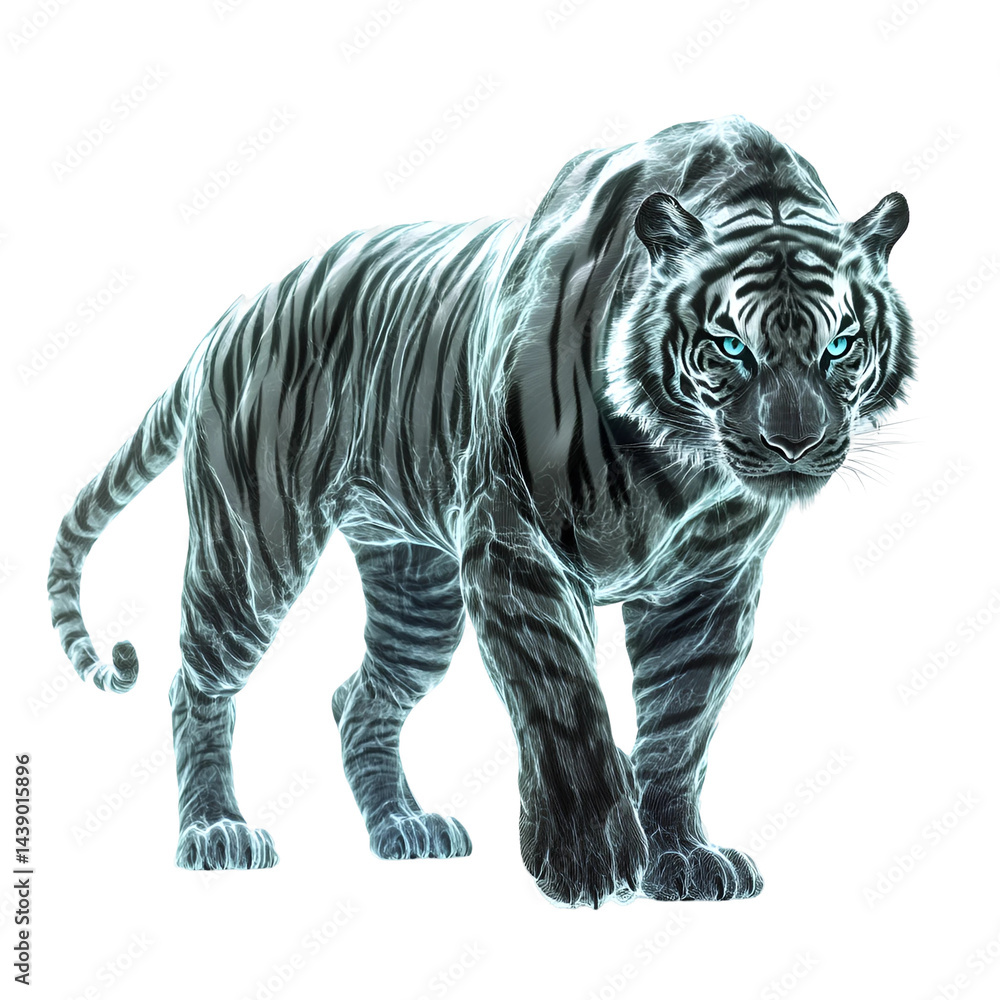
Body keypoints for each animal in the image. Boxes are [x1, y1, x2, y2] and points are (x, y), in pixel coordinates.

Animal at [48, 115, 913, 908]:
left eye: (840, 346)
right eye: (733, 347)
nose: (795, 444)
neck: (682, 459)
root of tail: (231, 318)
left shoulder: (707, 587)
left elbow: (679, 729)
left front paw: (680, 858)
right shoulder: (515, 544)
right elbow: (565, 702)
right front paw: (588, 858)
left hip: (416, 589)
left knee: (357, 698)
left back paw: (404, 827)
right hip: (253, 549)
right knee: (195, 688)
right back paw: (214, 833)